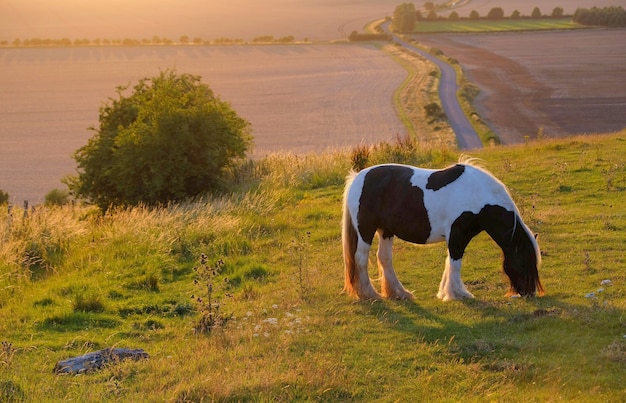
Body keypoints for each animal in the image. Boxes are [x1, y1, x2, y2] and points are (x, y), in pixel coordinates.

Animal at [342, 159, 540, 302]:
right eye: (523, 261)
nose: (529, 292)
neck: (478, 194)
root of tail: (357, 177)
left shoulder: (457, 236)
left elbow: (450, 262)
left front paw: (447, 292)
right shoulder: (457, 235)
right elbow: (455, 263)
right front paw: (457, 294)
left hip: (386, 230)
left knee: (384, 258)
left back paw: (399, 293)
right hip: (365, 230)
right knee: (361, 258)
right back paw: (369, 294)